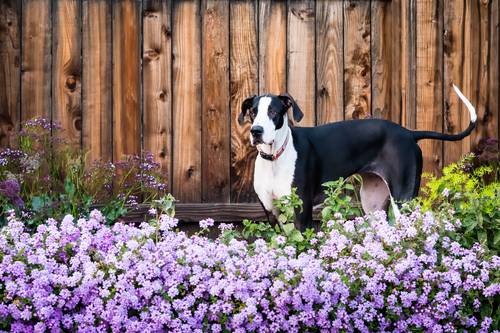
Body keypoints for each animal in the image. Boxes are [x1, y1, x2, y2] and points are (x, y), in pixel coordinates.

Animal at [240, 84, 478, 230]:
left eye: (274, 112)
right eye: (252, 112)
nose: (256, 131)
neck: (275, 159)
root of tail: (409, 133)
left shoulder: (302, 213)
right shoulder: (272, 213)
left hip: (403, 199)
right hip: (372, 203)